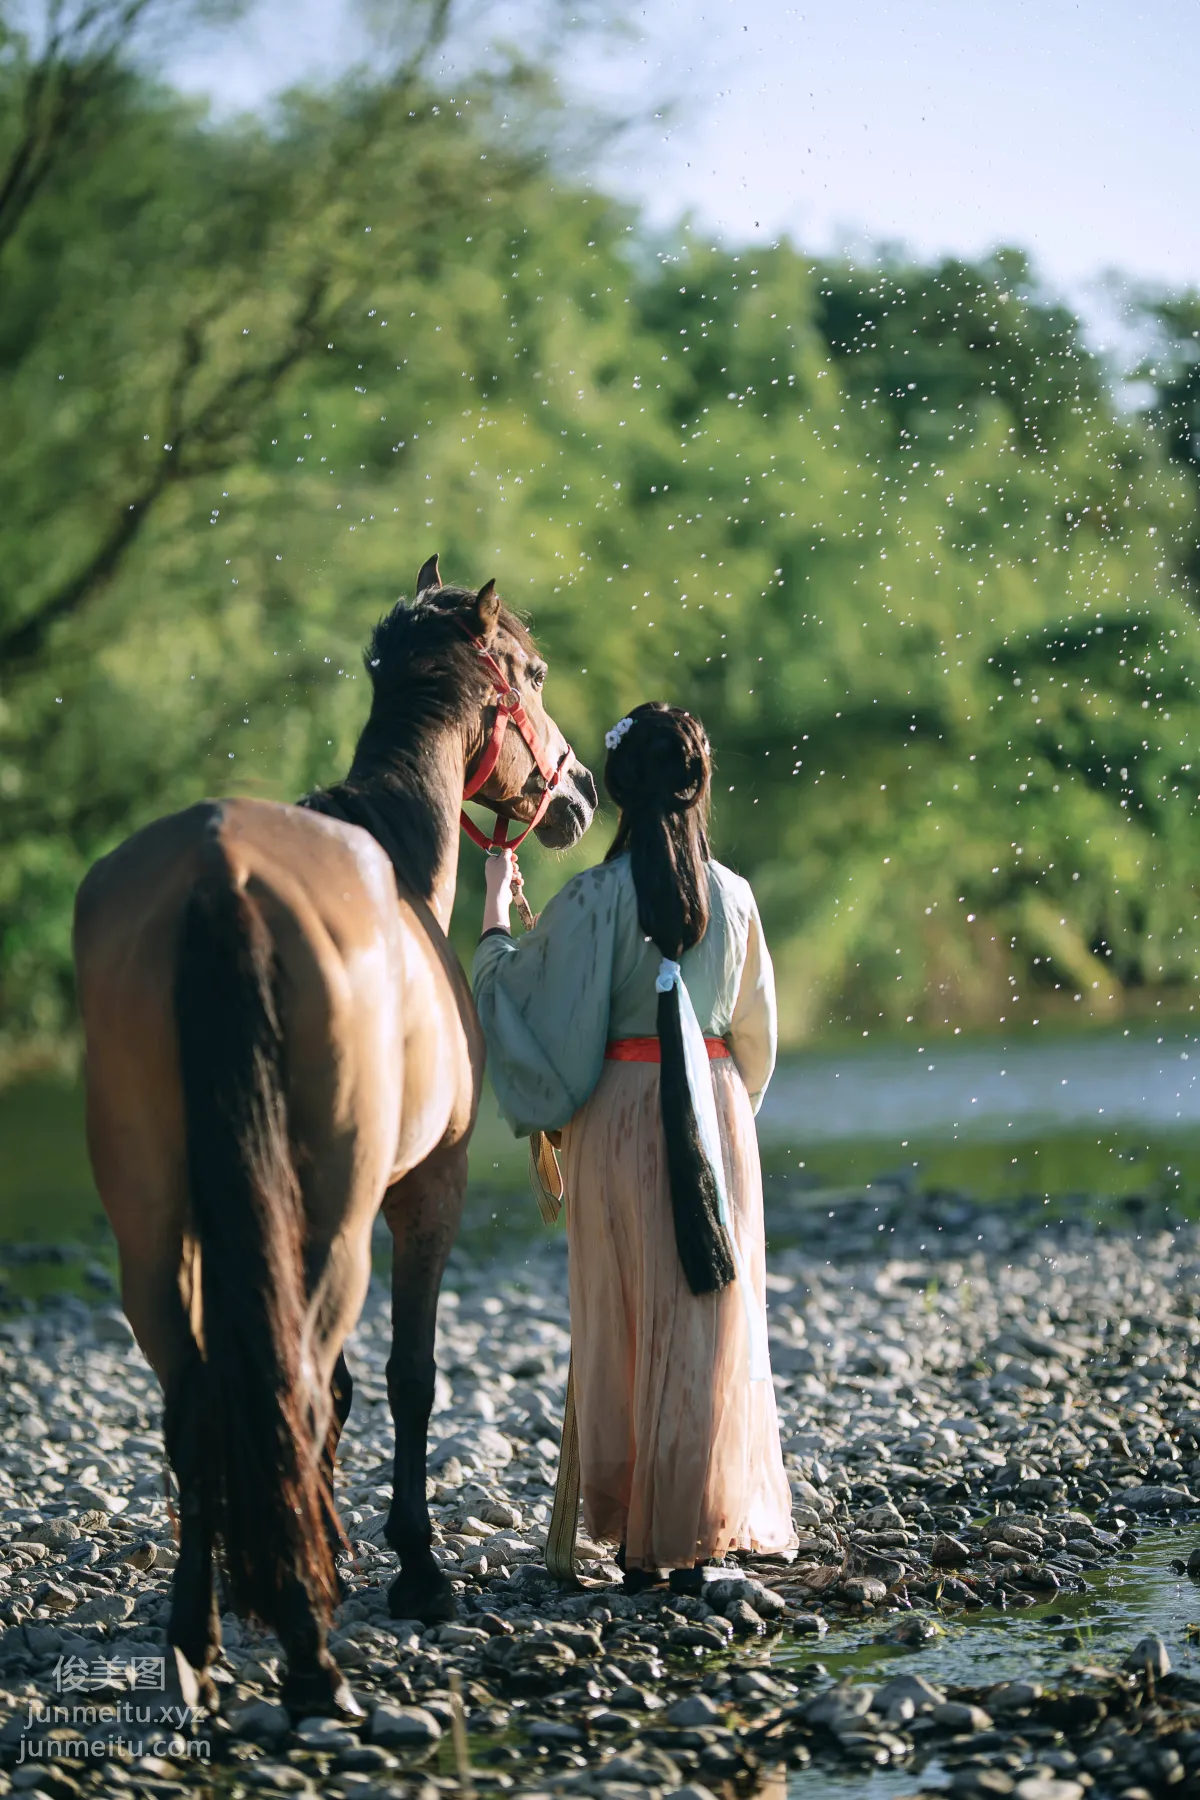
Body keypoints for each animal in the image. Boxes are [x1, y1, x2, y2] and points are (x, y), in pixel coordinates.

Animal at [73, 560, 597, 1717]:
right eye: (534, 672)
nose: (581, 793)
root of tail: (218, 874)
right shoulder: (425, 1195)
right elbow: (407, 1376)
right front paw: (415, 1570)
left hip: (155, 1231)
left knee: (197, 1401)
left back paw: (201, 1637)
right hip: (340, 1225)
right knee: (300, 1384)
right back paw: (311, 1659)